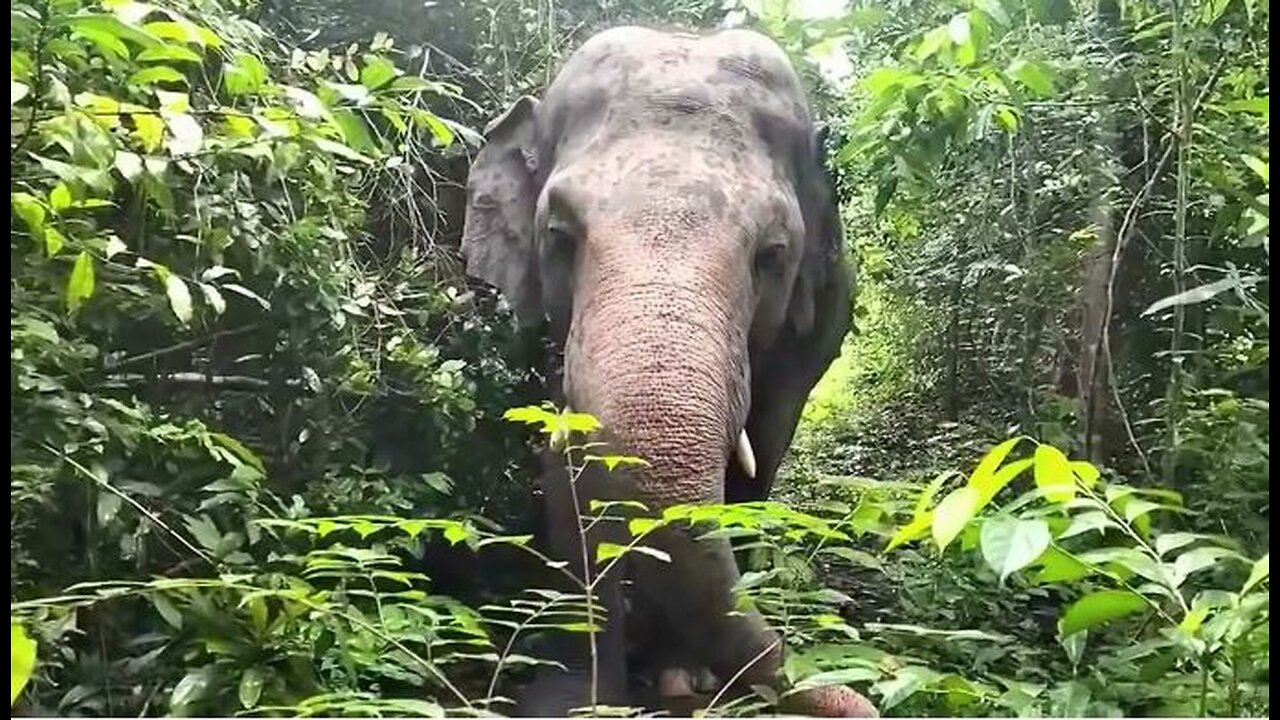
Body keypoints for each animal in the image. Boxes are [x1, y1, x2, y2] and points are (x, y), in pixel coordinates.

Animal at [458, 25, 870, 712]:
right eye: (559, 233)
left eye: (773, 253)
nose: (858, 699)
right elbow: (568, 472)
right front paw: (574, 700)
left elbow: (754, 467)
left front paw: (687, 681)